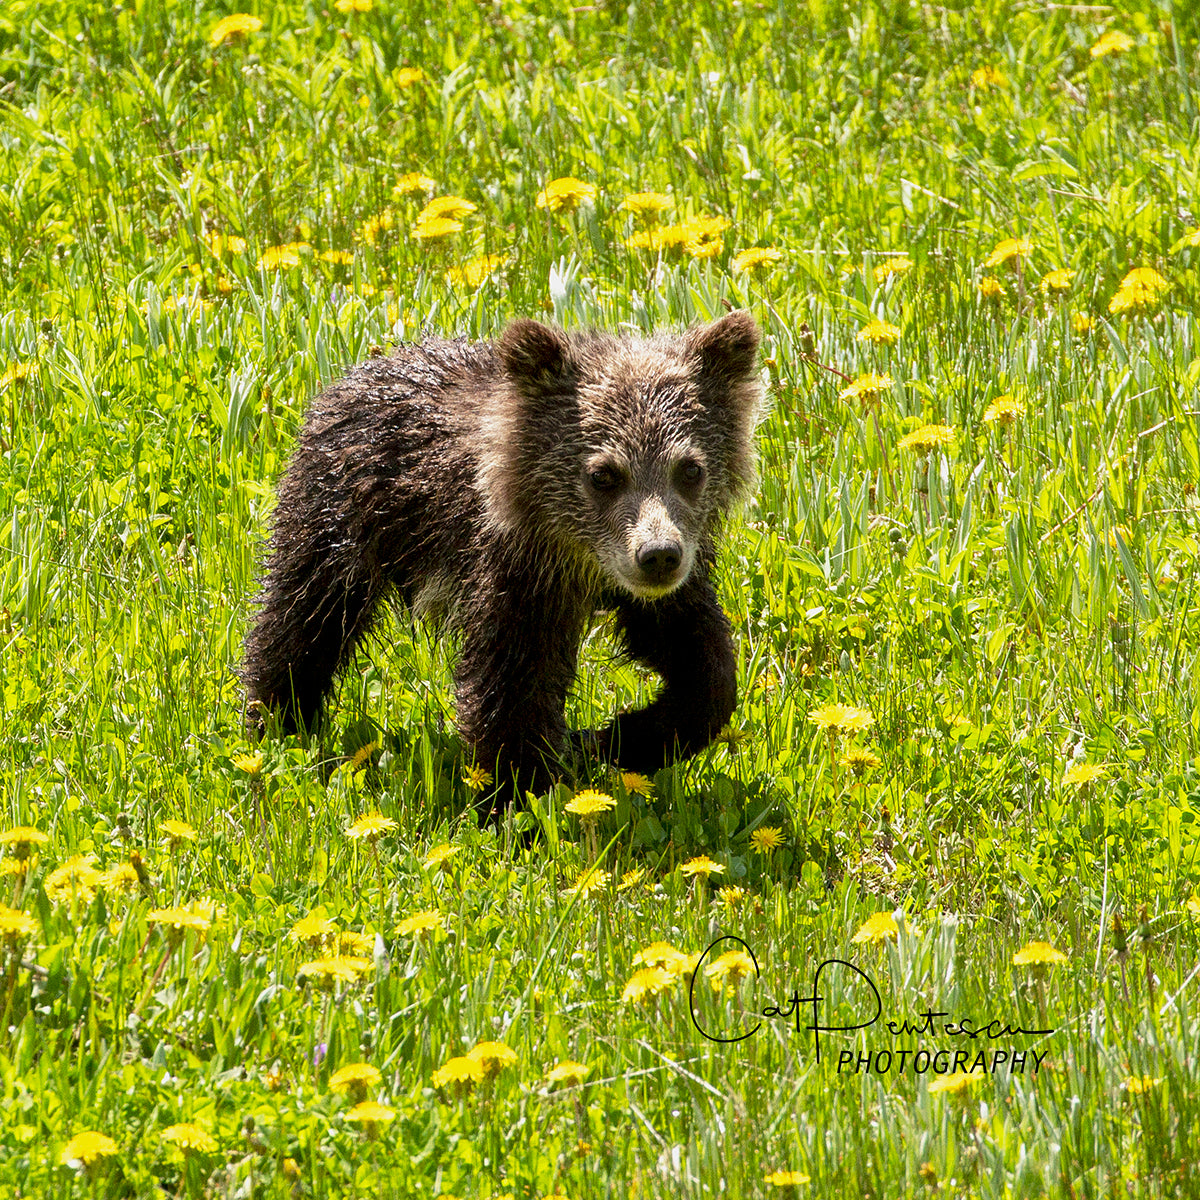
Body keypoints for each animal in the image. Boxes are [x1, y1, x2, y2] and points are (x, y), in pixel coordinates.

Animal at [244, 309, 763, 801]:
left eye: (690, 468)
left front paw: (616, 738)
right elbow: (510, 688)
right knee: (304, 616)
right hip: (340, 513)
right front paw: (520, 797)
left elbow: (702, 663)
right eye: (603, 474)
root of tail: (355, 371)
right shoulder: (513, 573)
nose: (658, 555)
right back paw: (274, 723)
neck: (578, 557)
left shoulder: (655, 583)